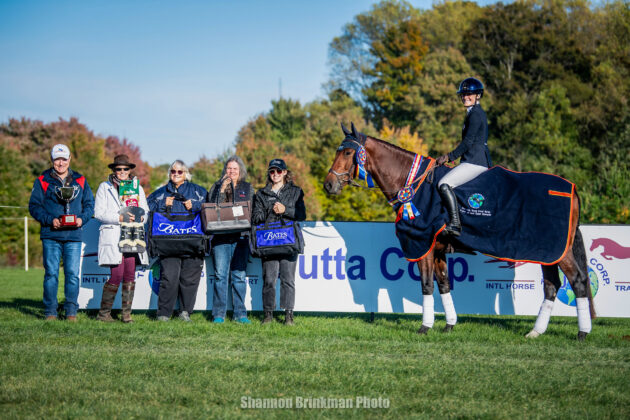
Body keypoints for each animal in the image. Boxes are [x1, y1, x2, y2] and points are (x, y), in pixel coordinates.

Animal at [326, 123, 596, 340]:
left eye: (348, 152)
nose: (329, 184)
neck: (413, 185)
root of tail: (571, 189)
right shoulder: (437, 250)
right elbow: (444, 284)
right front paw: (449, 326)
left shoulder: (423, 246)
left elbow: (427, 285)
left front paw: (425, 327)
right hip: (548, 252)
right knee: (551, 285)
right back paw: (536, 332)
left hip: (560, 251)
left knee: (577, 281)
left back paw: (582, 333)